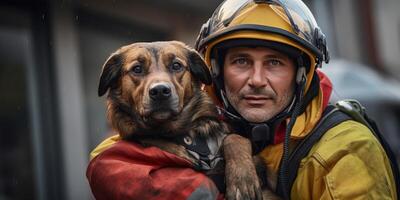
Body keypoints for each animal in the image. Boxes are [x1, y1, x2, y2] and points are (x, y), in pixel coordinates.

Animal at [97, 41, 268, 200]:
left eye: (176, 65)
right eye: (137, 69)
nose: (160, 91)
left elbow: (235, 139)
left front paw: (242, 179)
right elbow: (157, 142)